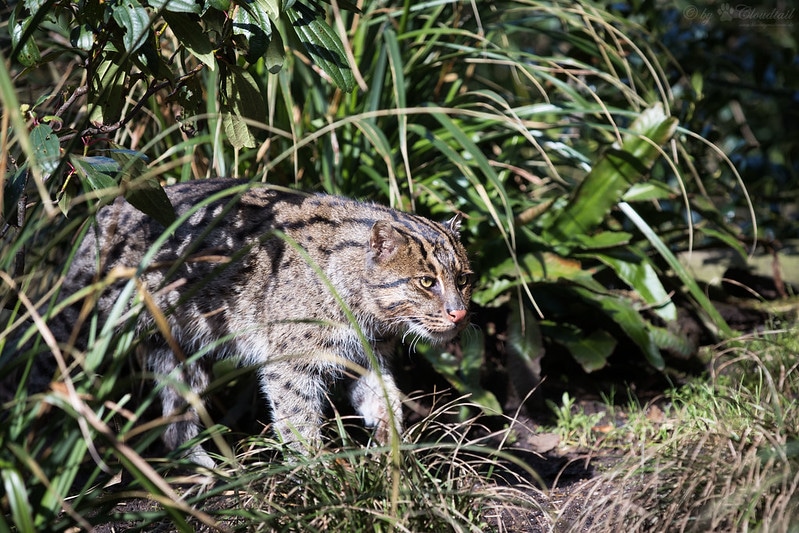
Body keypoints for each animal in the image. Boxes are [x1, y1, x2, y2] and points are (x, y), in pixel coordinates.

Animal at [12, 179, 472, 466]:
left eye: (463, 279)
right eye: (427, 282)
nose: (460, 313)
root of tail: (103, 213)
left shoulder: (365, 356)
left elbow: (384, 400)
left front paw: (394, 451)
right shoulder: (291, 362)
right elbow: (297, 418)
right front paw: (318, 469)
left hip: (182, 351)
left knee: (175, 423)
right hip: (81, 327)